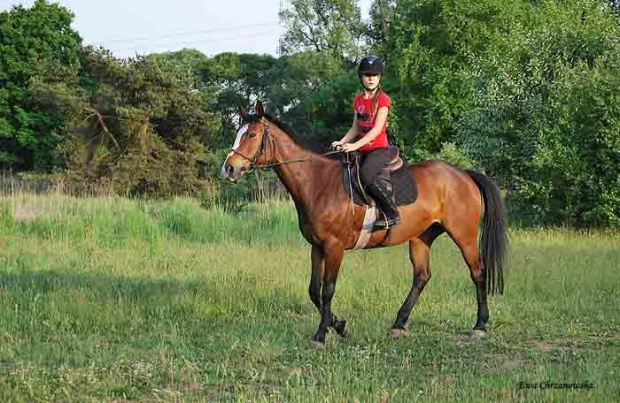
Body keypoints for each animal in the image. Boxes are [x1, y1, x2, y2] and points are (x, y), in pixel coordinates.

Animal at [220, 100, 506, 348]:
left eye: (252, 135)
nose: (229, 169)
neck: (317, 182)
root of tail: (463, 173)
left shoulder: (334, 247)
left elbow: (328, 290)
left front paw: (321, 335)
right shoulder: (317, 247)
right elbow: (313, 290)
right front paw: (340, 326)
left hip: (464, 234)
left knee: (477, 271)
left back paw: (480, 325)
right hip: (421, 237)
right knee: (421, 276)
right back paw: (399, 323)